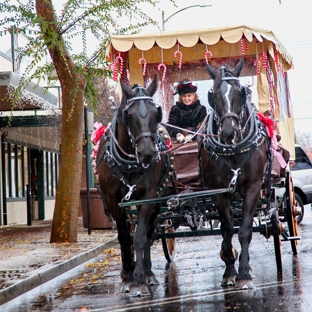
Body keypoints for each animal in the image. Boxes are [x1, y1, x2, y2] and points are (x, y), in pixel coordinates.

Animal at [96, 75, 172, 294]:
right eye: (128, 115)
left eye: (156, 113)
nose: (147, 153)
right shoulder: (114, 201)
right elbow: (124, 236)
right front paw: (127, 274)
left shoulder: (147, 197)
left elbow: (140, 236)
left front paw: (139, 280)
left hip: (157, 203)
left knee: (148, 232)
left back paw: (148, 272)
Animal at [200, 57, 270, 288]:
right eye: (213, 94)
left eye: (240, 92)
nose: (229, 132)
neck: (234, 149)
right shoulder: (218, 191)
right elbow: (227, 229)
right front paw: (230, 270)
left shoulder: (253, 188)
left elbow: (245, 230)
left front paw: (244, 273)